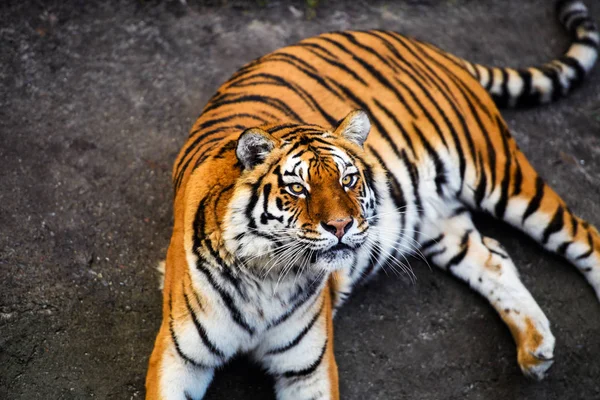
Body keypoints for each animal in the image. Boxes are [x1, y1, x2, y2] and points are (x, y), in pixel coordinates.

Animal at [145, 0, 600, 396]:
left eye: (348, 180)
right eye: (298, 188)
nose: (341, 226)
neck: (267, 279)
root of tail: (430, 47)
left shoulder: (309, 367)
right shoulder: (177, 357)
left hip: (498, 173)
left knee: (585, 235)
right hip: (436, 219)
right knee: (494, 257)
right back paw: (535, 350)